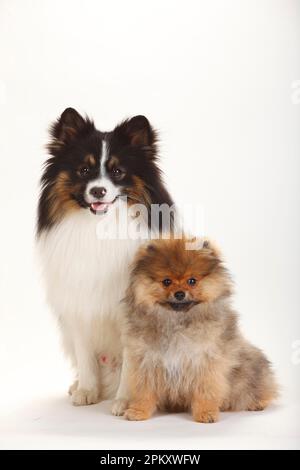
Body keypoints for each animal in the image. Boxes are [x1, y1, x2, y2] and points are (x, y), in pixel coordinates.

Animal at [116, 237, 278, 424]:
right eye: (166, 281)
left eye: (192, 281)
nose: (179, 293)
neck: (177, 322)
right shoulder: (146, 362)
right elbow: (144, 391)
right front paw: (138, 411)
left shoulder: (205, 363)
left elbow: (206, 390)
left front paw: (206, 413)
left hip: (249, 368)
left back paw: (257, 403)